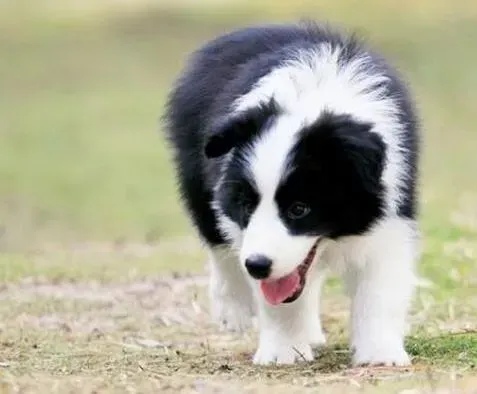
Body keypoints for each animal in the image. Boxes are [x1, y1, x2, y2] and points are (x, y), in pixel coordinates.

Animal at [165, 21, 418, 366]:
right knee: (217, 244)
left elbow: (379, 286)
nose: (256, 265)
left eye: (299, 208)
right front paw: (282, 352)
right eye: (247, 205)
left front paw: (380, 354)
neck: (318, 99)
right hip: (195, 176)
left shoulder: (390, 211)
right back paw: (233, 308)